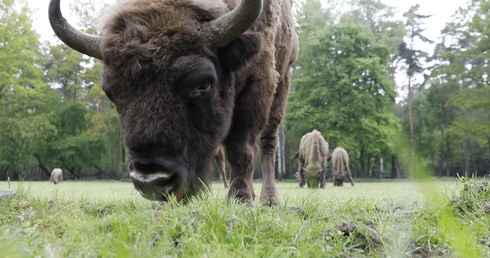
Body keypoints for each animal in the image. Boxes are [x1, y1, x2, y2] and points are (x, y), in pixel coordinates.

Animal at [50, 0, 302, 206]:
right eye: (111, 93)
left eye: (203, 84)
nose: (151, 180)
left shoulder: (260, 81)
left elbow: (242, 147)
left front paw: (240, 199)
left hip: (282, 84)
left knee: (268, 142)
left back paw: (269, 199)